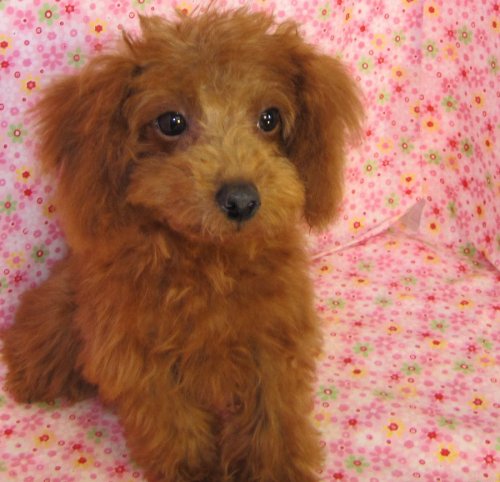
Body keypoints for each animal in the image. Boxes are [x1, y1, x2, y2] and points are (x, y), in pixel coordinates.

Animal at [2, 8, 362, 482]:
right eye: (171, 122)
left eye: (269, 119)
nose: (241, 199)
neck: (209, 260)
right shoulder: (135, 352)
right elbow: (172, 421)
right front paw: (195, 468)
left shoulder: (274, 337)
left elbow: (273, 414)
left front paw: (276, 465)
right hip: (63, 304)